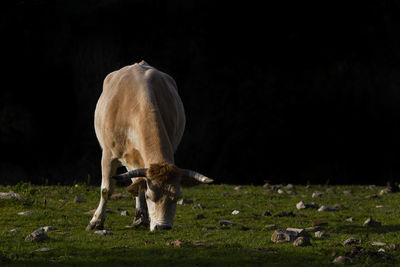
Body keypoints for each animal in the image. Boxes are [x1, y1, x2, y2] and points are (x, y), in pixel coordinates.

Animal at [87, 61, 212, 232]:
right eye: (149, 197)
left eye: (177, 197)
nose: (163, 227)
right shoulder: (108, 155)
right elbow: (106, 190)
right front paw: (96, 221)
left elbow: (140, 184)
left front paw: (141, 218)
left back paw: (140, 218)